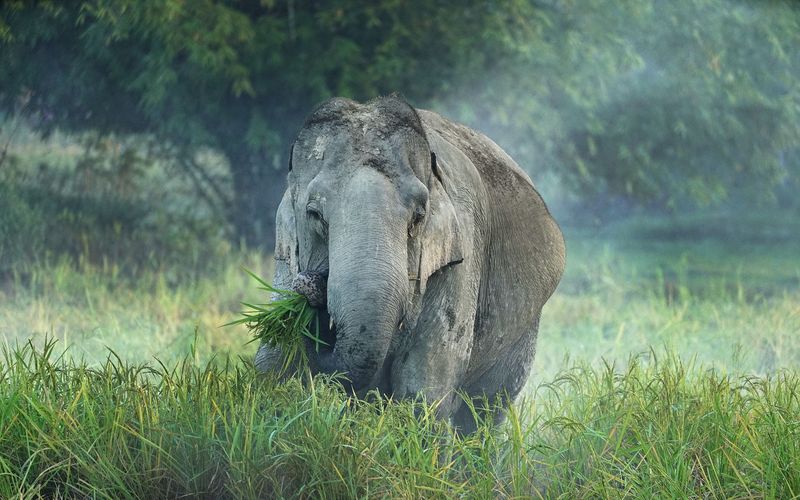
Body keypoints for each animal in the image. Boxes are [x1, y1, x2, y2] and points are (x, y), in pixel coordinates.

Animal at [255, 95, 564, 432]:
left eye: (418, 216)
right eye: (313, 214)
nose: (309, 286)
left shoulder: (460, 260)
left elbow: (423, 392)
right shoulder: (285, 261)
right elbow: (272, 366)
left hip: (524, 330)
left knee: (485, 410)